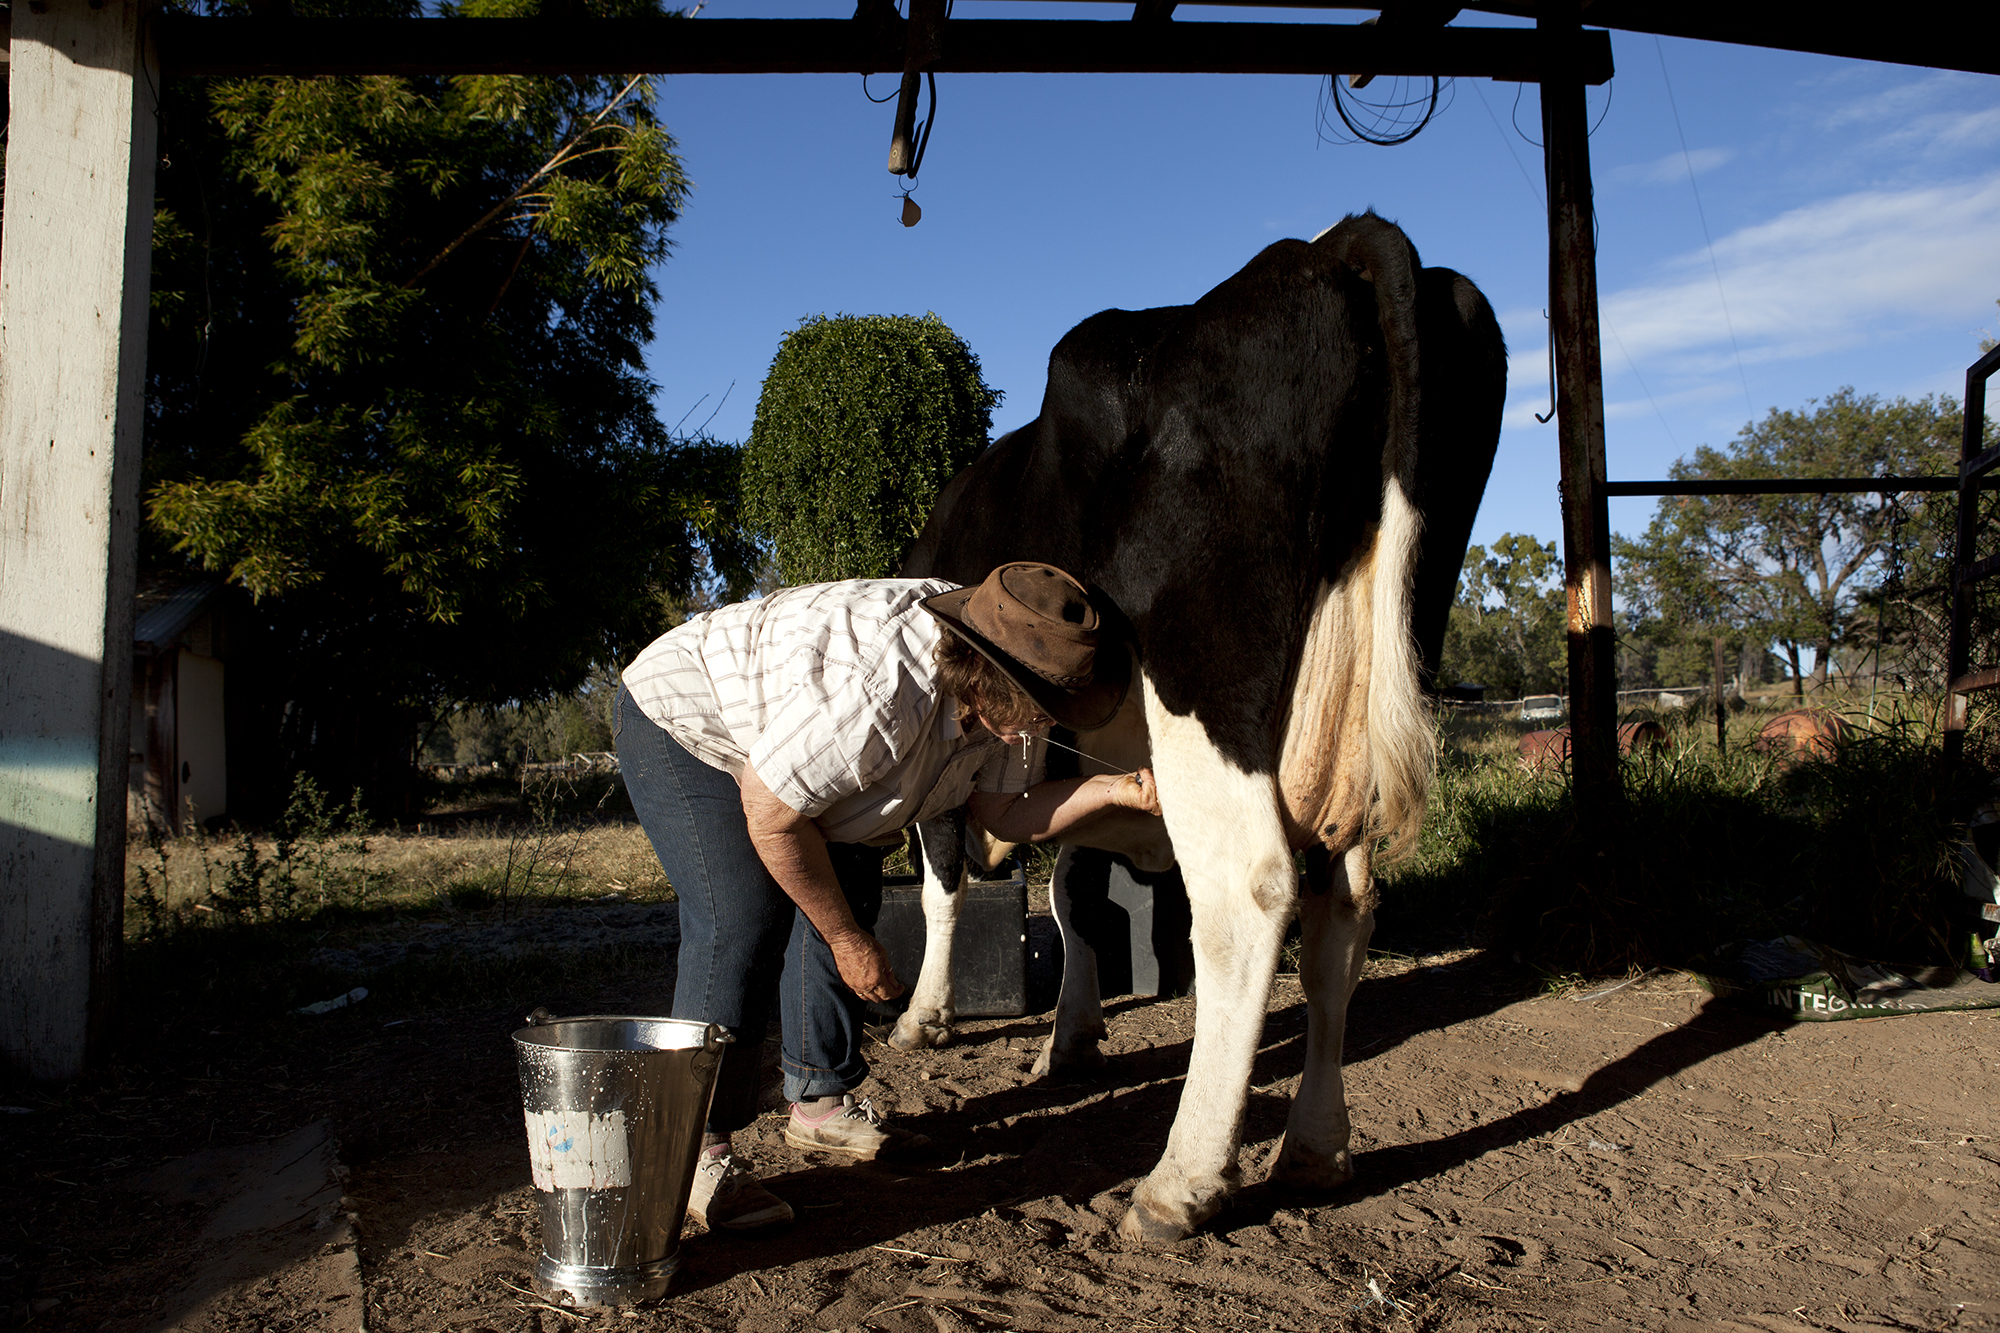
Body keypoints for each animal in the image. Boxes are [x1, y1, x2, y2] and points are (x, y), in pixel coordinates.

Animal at [892, 213, 1504, 1240]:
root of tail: (1327, 246)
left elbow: (949, 889)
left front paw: (923, 1015)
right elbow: (1075, 896)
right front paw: (1070, 1037)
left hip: (1205, 682)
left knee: (1250, 888)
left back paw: (1182, 1180)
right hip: (1363, 681)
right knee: (1344, 908)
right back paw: (1314, 1150)